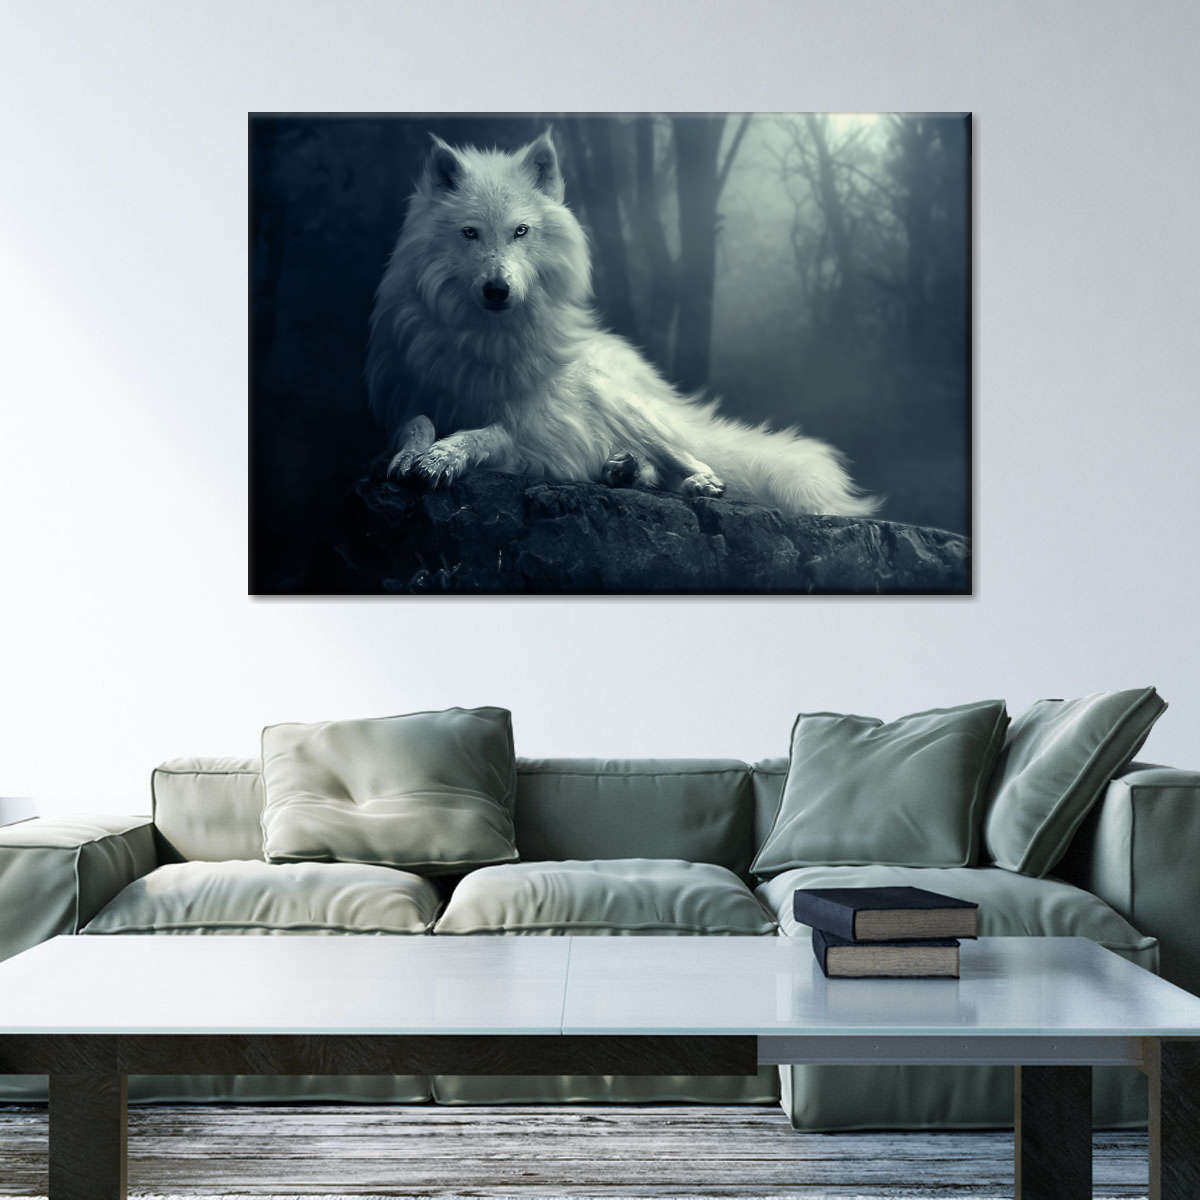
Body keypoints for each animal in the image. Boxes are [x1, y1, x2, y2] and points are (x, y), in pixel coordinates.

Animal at [367, 128, 877, 516]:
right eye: (470, 233)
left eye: (520, 232)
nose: (497, 290)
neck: (485, 339)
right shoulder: (406, 398)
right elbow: (416, 423)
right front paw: (412, 454)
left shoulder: (532, 430)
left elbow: (486, 433)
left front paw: (443, 457)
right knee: (648, 468)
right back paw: (623, 469)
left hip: (626, 407)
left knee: (695, 459)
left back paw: (694, 483)